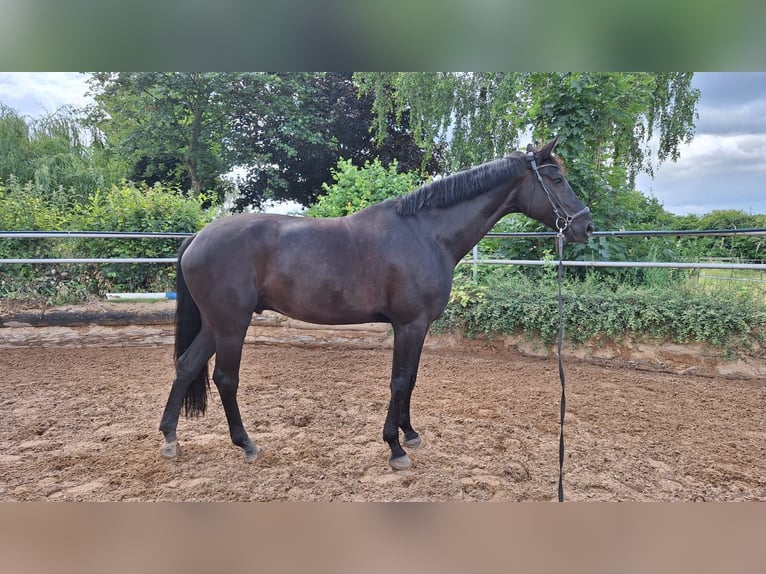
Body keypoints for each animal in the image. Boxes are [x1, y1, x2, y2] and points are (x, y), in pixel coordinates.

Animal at [159, 136, 594, 470]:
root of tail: (197, 238)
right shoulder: (409, 324)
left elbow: (411, 379)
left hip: (216, 324)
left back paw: (169, 438)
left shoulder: (420, 326)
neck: (426, 233)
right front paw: (395, 448)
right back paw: (246, 444)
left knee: (186, 366)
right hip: (232, 323)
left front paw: (410, 433)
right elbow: (399, 380)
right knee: (225, 379)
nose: (585, 226)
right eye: (556, 178)